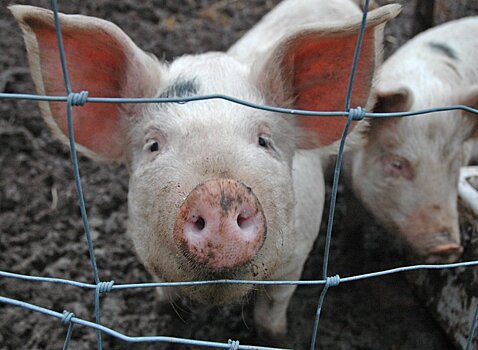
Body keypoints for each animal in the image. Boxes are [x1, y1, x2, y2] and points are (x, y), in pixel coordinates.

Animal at [10, 0, 400, 334]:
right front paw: (165, 318)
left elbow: (272, 311)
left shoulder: (295, 259)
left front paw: (276, 336)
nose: (220, 193)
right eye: (153, 145)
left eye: (264, 140)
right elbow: (165, 293)